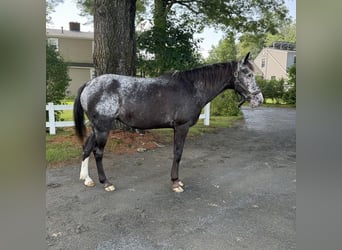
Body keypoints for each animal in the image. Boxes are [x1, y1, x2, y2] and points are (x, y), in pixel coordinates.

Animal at [73, 52, 264, 192]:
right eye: (248, 74)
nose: (259, 99)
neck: (192, 88)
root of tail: (89, 84)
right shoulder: (181, 127)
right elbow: (178, 153)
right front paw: (176, 182)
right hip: (103, 127)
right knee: (98, 152)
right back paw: (106, 183)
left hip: (96, 127)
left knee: (87, 148)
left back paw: (87, 179)